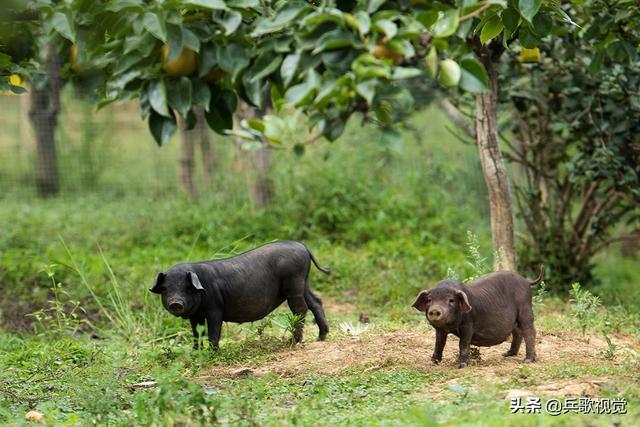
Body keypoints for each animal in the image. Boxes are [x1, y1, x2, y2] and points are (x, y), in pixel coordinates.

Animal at [151, 241, 330, 352]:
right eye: (165, 289)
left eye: (188, 288)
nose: (176, 303)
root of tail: (303, 247)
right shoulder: (196, 315)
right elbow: (197, 333)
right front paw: (195, 352)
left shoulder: (214, 309)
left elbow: (213, 331)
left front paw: (213, 353)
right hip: (303, 282)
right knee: (316, 302)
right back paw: (321, 338)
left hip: (293, 281)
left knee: (300, 309)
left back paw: (293, 342)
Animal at [412, 270, 544, 370]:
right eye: (429, 300)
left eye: (451, 300)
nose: (435, 310)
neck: (451, 326)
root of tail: (526, 281)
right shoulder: (440, 330)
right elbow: (439, 343)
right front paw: (433, 362)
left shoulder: (468, 325)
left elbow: (463, 343)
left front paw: (461, 365)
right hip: (514, 320)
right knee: (517, 332)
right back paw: (507, 354)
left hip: (525, 307)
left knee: (530, 331)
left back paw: (527, 360)